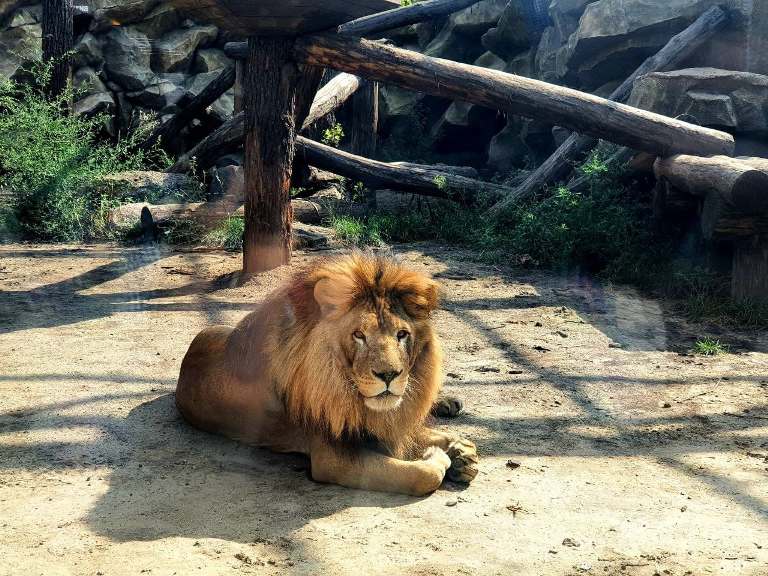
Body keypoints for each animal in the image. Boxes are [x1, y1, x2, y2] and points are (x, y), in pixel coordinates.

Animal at [178, 252, 480, 496]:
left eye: (402, 334)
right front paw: (441, 456)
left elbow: (428, 431)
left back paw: (448, 402)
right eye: (359, 335)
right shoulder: (333, 460)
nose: (389, 375)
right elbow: (422, 474)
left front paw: (462, 451)